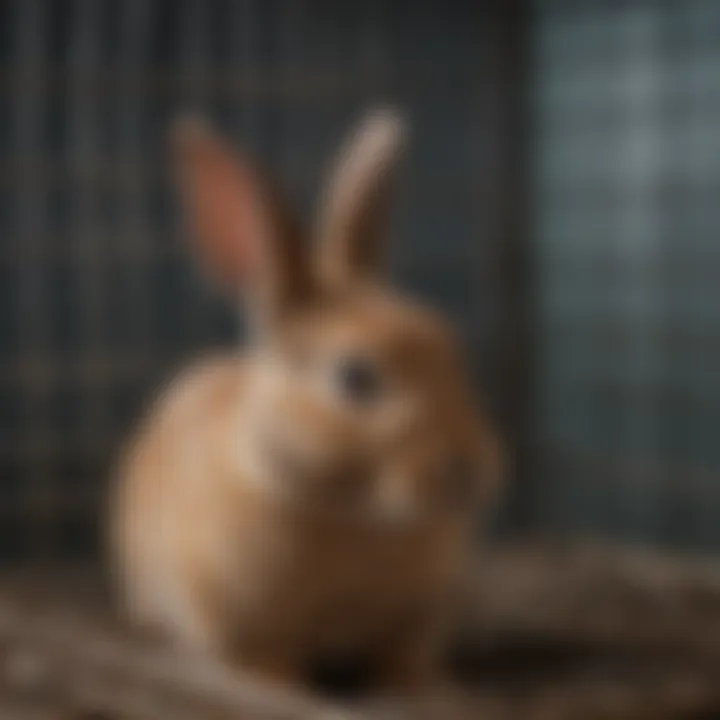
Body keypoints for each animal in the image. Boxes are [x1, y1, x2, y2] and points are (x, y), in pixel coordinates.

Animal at [108, 108, 500, 696]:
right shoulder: (245, 620)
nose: (466, 469)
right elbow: (268, 661)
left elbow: (402, 656)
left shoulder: (414, 620)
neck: (349, 512)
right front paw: (283, 687)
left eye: (449, 350)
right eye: (356, 378)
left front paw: (426, 686)